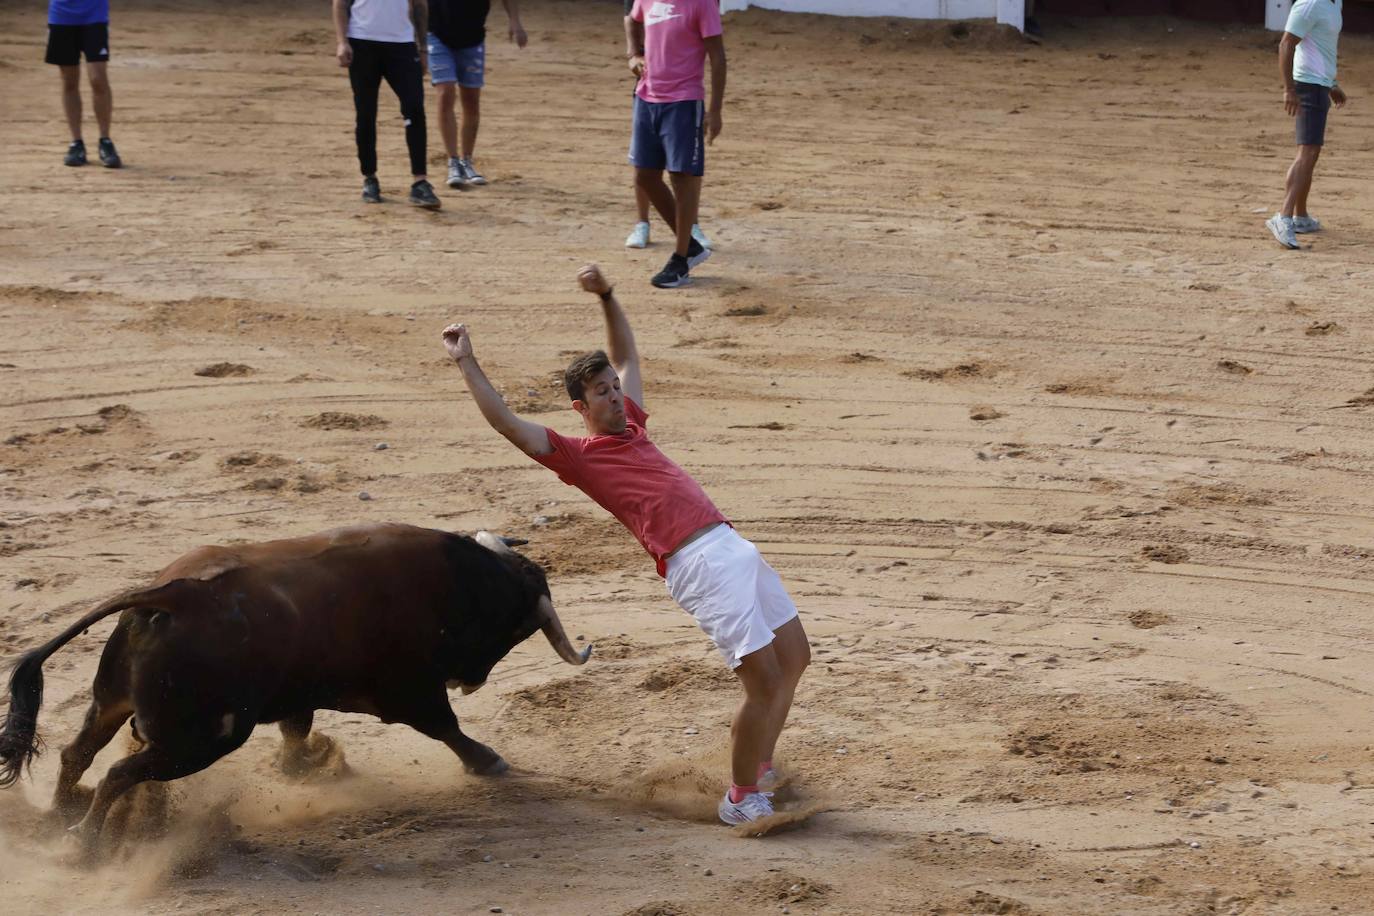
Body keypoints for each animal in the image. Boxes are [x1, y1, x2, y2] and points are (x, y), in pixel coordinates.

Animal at [0, 521, 585, 845]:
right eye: (515, 630)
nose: (474, 679)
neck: (455, 583)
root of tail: (172, 595)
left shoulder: (298, 695)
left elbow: (295, 731)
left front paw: (302, 767)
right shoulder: (410, 691)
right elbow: (447, 727)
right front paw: (488, 761)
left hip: (113, 702)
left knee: (77, 753)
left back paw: (59, 817)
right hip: (201, 740)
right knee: (119, 772)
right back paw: (85, 841)